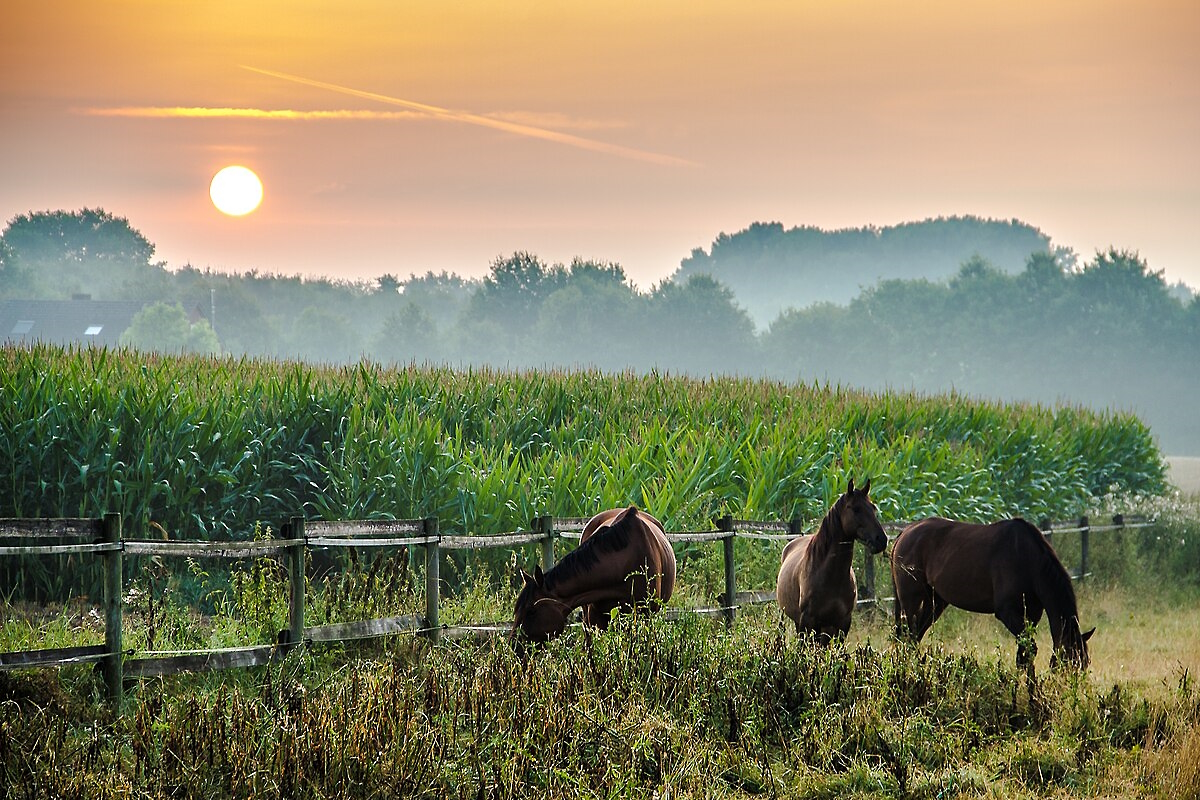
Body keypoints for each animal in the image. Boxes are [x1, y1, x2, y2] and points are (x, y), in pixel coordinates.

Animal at [772, 479, 888, 642]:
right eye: (856, 509)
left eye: (873, 508)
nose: (881, 540)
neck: (831, 575)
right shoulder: (808, 621)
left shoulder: (843, 623)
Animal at [892, 515, 1099, 671]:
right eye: (1067, 662)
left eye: (1084, 664)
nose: (1066, 690)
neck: (1027, 559)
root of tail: (905, 533)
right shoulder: (1007, 613)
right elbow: (1028, 651)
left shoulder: (1032, 614)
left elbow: (1023, 656)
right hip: (911, 601)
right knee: (907, 637)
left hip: (935, 602)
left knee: (914, 637)